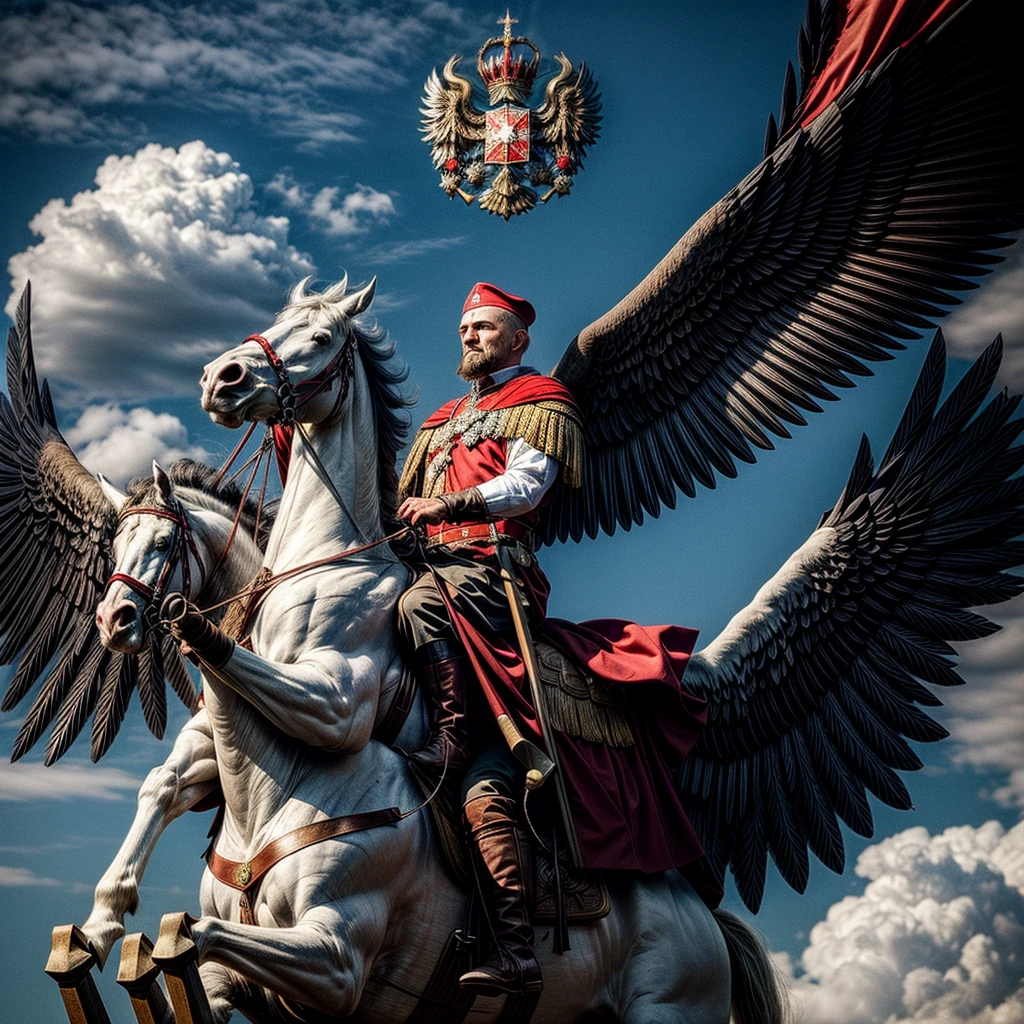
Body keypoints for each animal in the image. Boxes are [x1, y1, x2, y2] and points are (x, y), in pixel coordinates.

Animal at [81, 274, 782, 1024]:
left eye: (320, 337)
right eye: (117, 543)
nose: (223, 378)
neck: (319, 567)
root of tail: (708, 922)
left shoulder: (335, 705)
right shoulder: (221, 734)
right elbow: (164, 782)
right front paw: (100, 923)